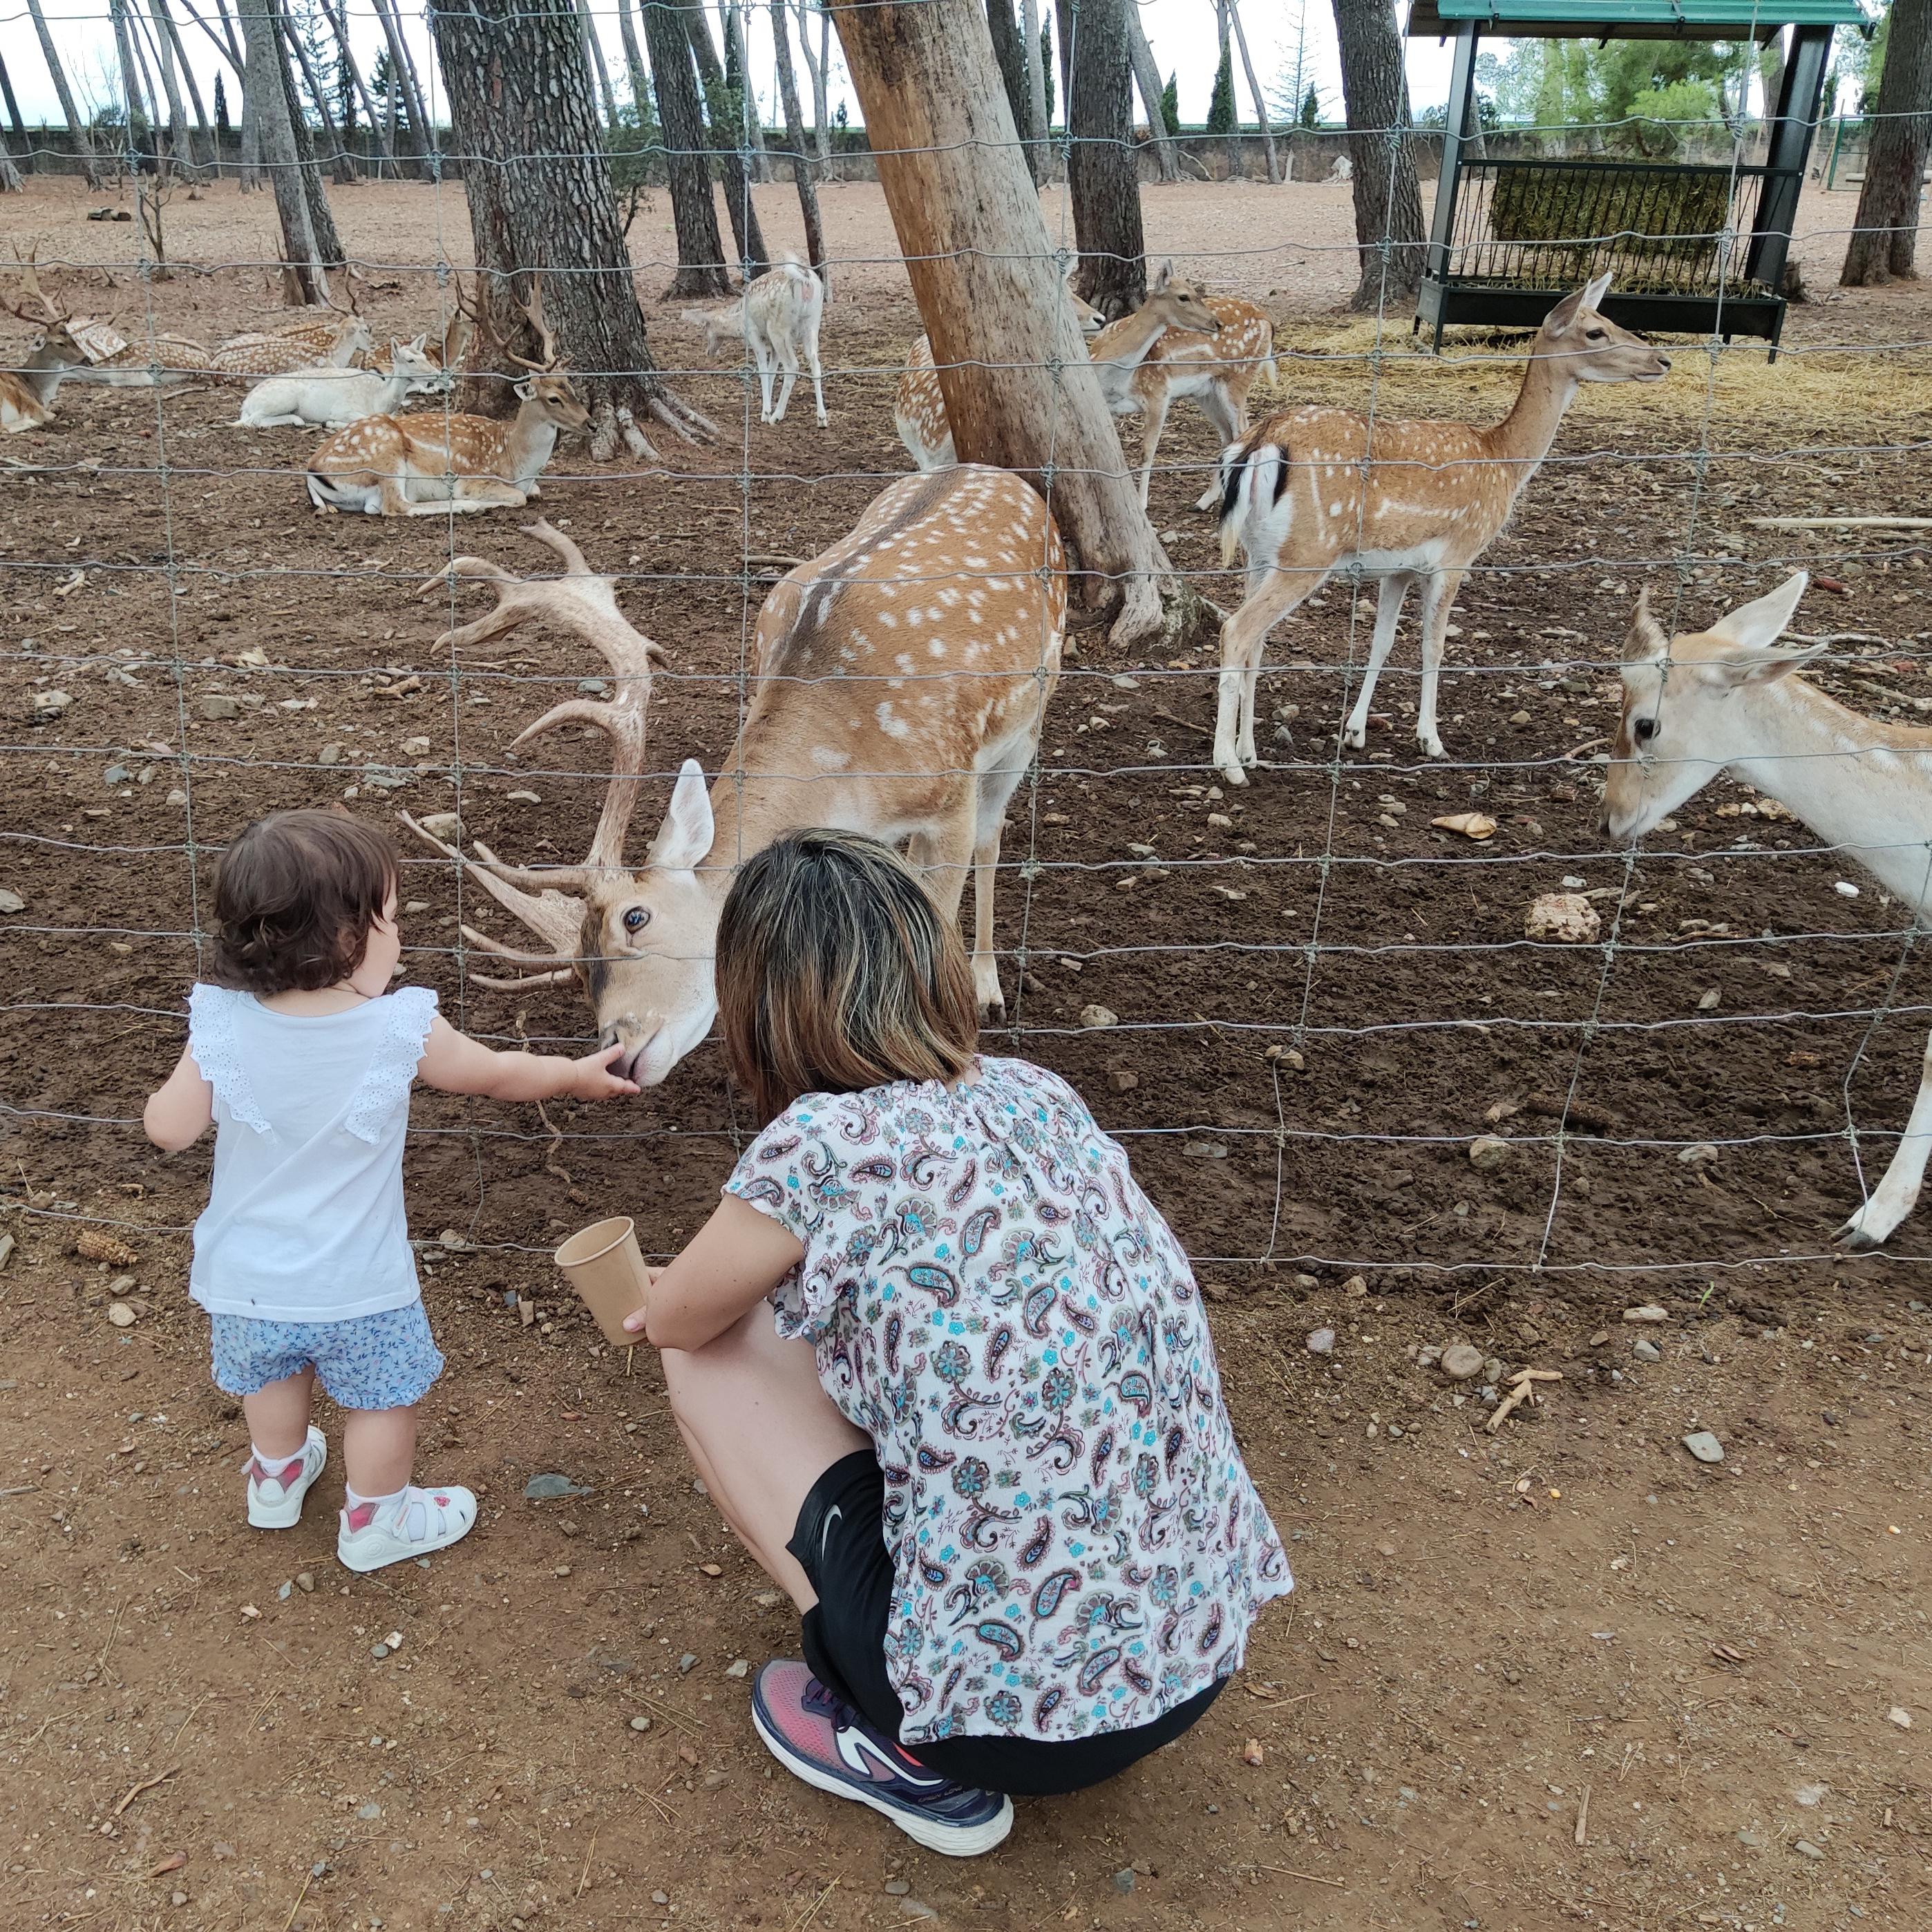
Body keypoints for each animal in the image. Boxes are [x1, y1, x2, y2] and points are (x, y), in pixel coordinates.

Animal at [234, 340, 444, 430]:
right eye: (410, 360)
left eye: (424, 356)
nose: (437, 373)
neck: (379, 400)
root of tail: (246, 403)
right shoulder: (343, 408)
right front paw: (331, 423)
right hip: (282, 399)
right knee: (252, 421)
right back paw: (299, 420)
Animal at [407, 464, 1074, 1089]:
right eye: (578, 969)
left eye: (635, 918)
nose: (618, 1053)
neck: (850, 766)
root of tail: (995, 472)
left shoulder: (951, 793)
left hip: (1030, 716)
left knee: (994, 834)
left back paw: (989, 986)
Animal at [1213, 272, 1669, 784]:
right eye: (1596, 332)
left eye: (1610, 319)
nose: (1662, 360)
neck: (1503, 461)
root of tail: (1258, 445)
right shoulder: (1456, 556)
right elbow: (1434, 646)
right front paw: (1431, 740)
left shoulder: (1398, 568)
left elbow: (1382, 642)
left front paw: (1355, 732)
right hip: (1308, 553)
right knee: (1237, 629)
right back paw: (1228, 764)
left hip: (1259, 552)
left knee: (1256, 641)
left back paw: (1250, 751)